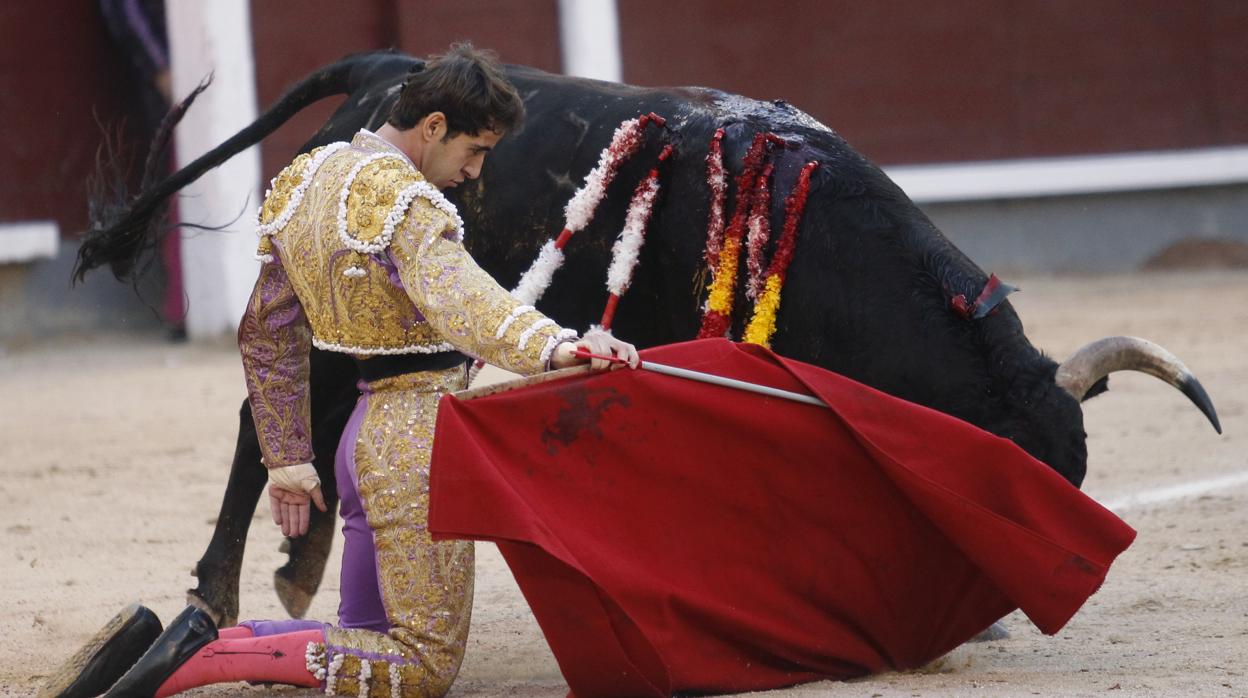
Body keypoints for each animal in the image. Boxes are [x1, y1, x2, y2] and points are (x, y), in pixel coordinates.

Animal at [75, 50, 1218, 629]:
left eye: (1074, 476)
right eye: (1003, 481)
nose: (1011, 606)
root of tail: (391, 65)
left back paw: (297, 570)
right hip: (322, 304)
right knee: (264, 410)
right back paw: (223, 591)